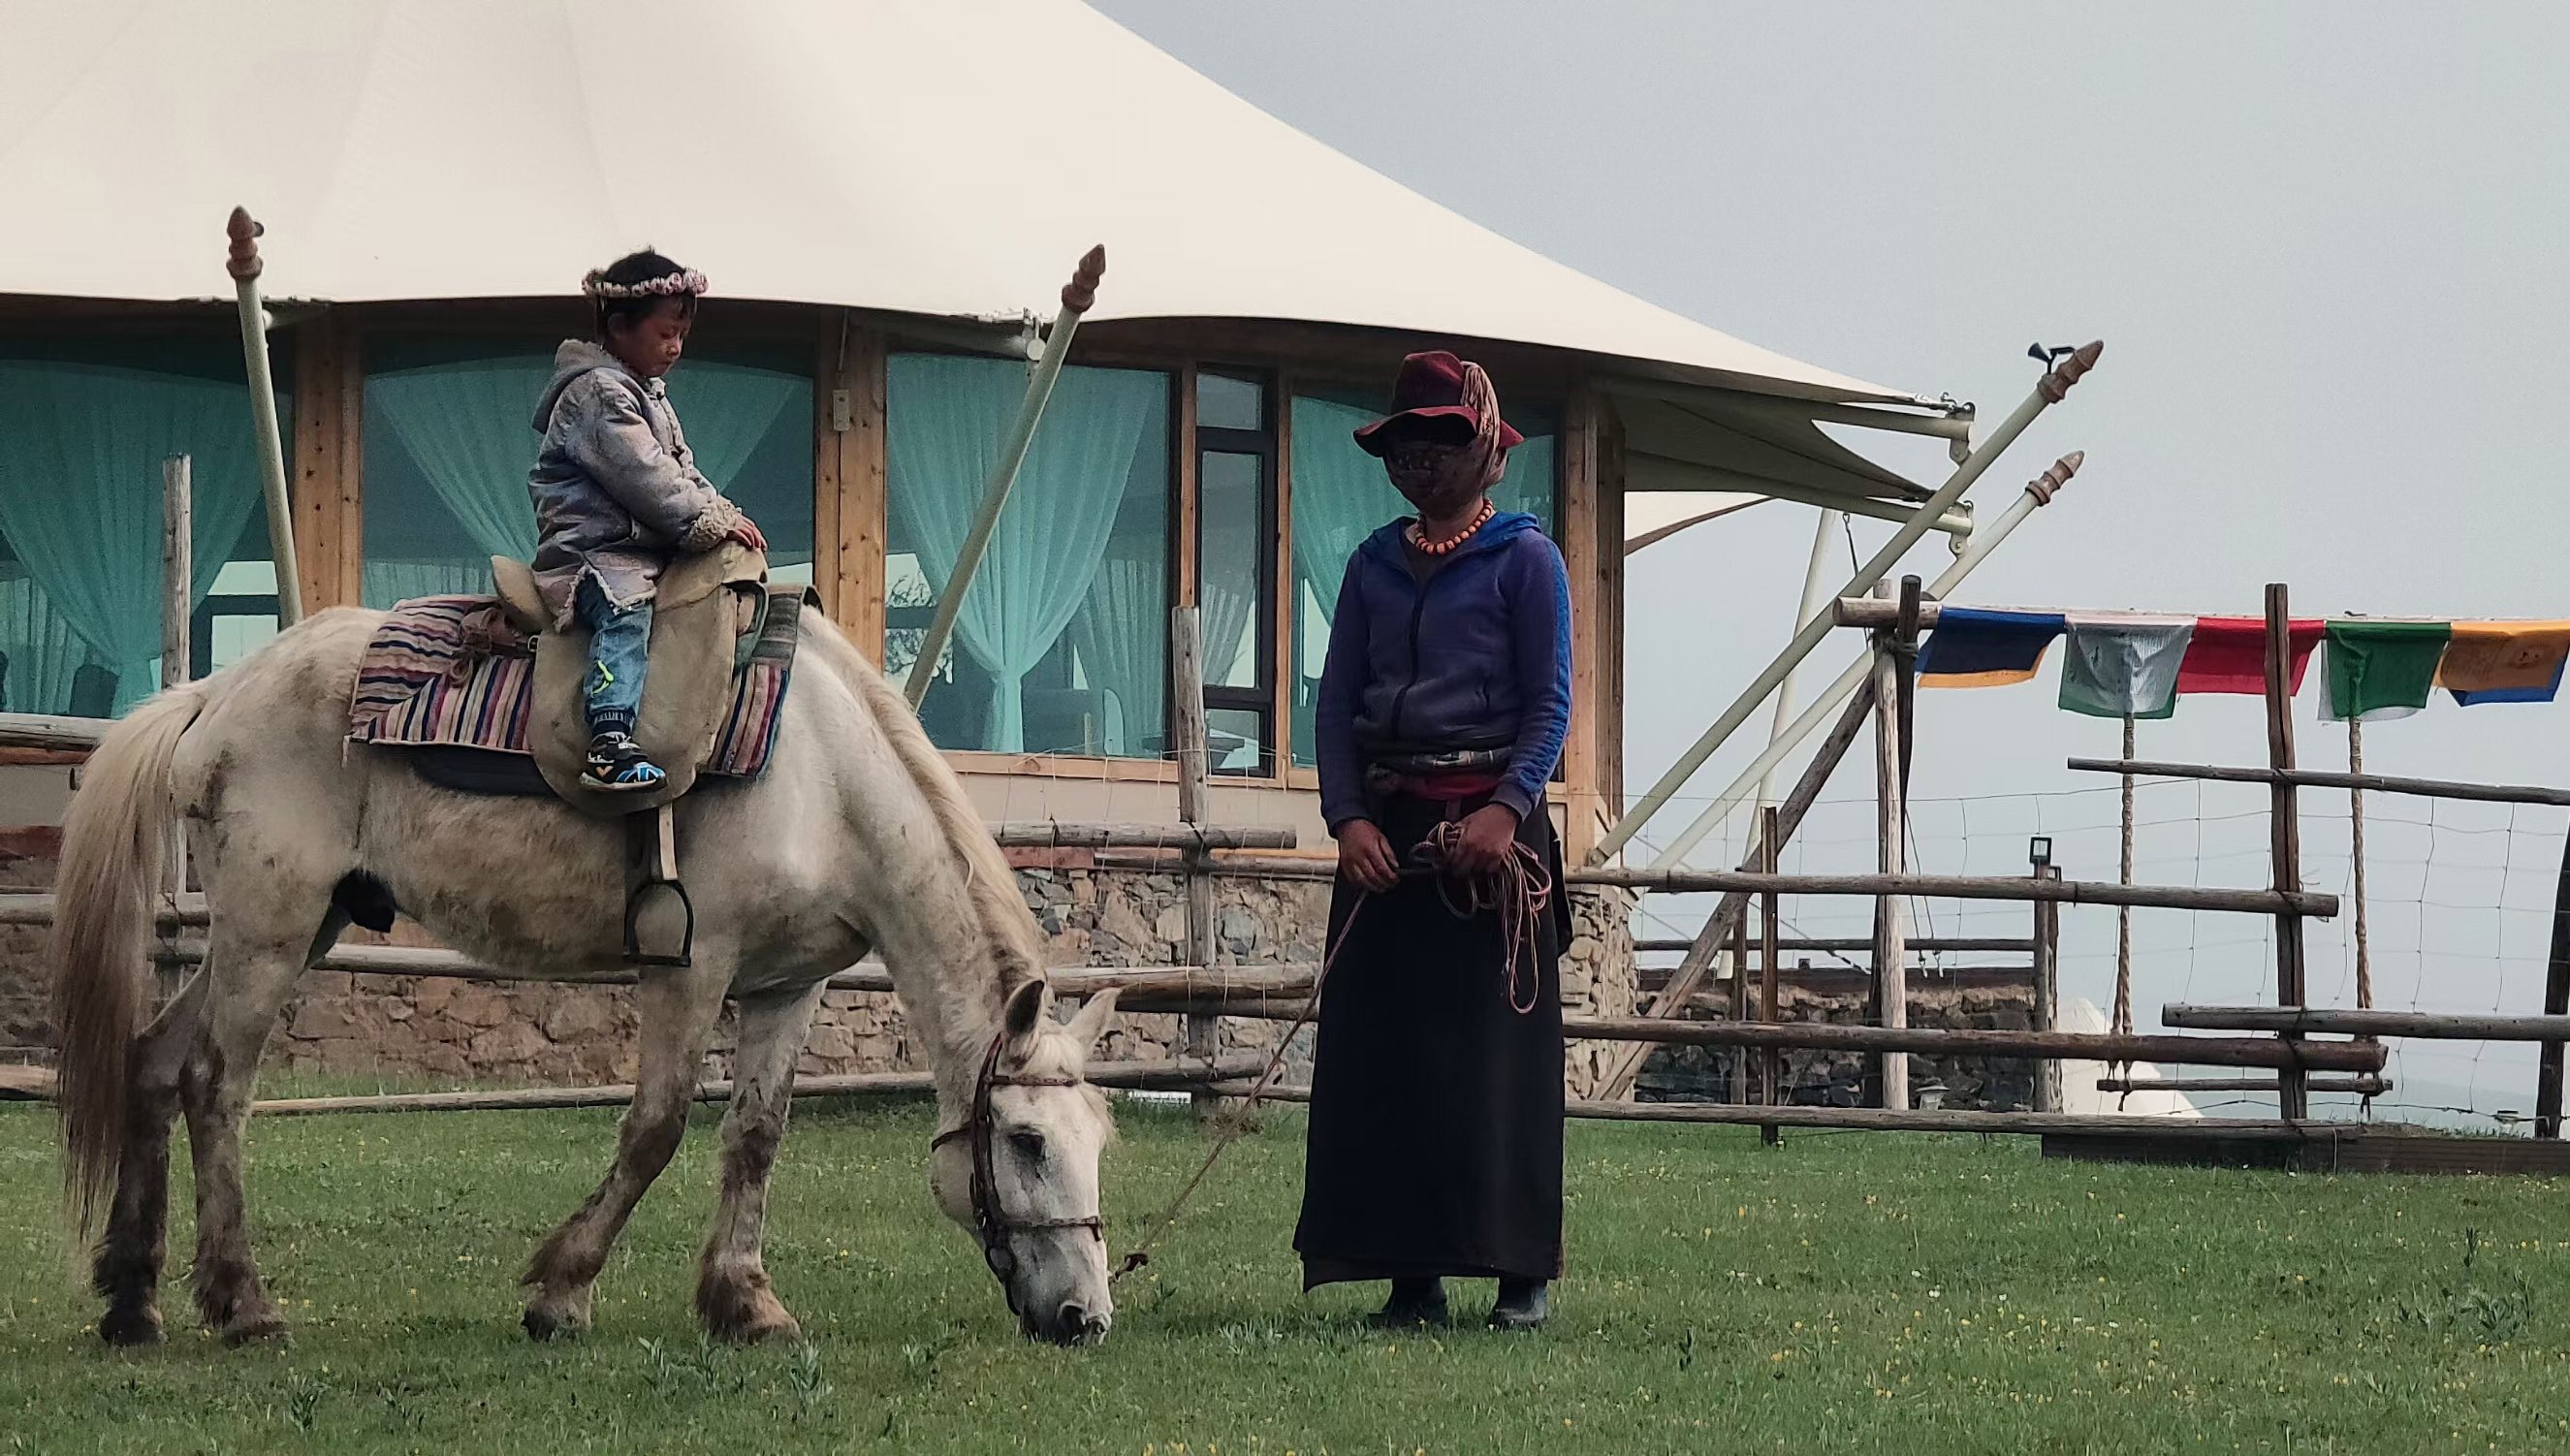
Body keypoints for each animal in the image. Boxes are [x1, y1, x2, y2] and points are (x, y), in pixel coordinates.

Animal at [45, 608, 1120, 1345]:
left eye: (1096, 1142)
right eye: (1025, 1141)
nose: (1083, 1316)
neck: (825, 779)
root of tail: (216, 693)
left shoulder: (785, 986)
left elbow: (756, 1137)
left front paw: (746, 1302)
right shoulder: (691, 965)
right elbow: (654, 1129)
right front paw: (562, 1291)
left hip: (295, 927)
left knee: (153, 1063)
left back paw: (131, 1301)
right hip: (269, 930)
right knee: (213, 1086)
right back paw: (242, 1304)